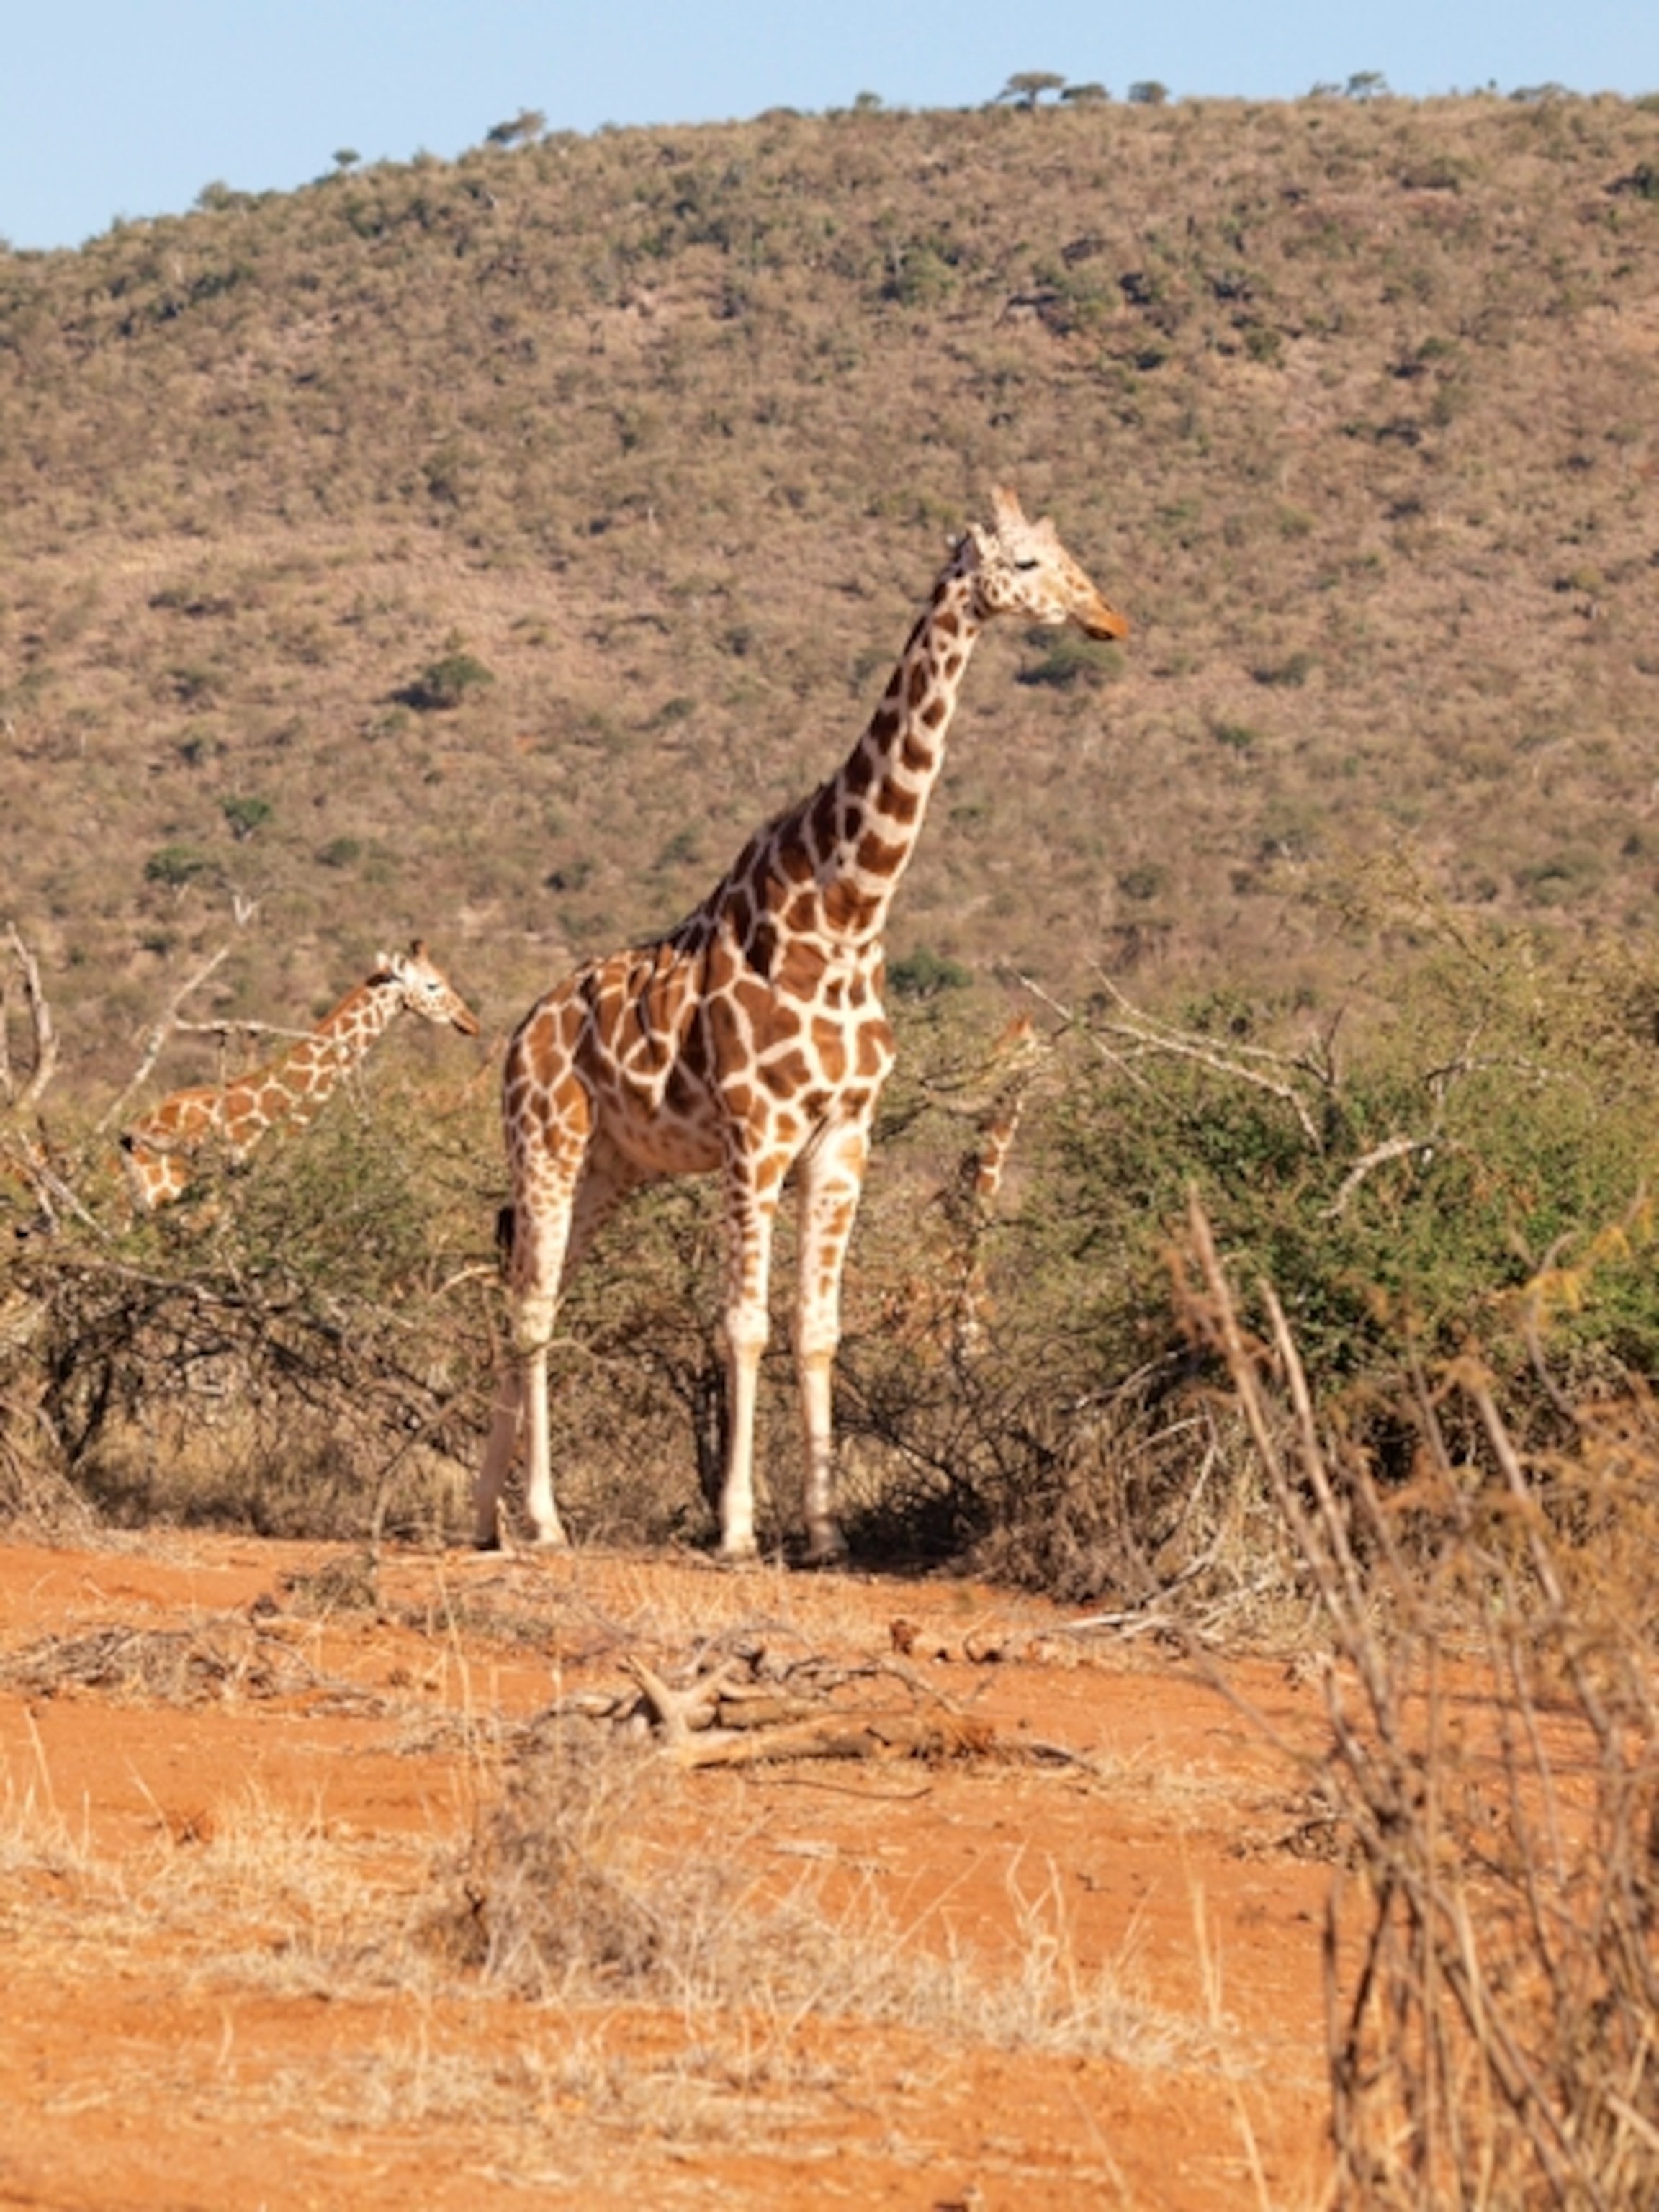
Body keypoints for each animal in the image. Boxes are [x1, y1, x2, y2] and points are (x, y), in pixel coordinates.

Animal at [476, 486, 1128, 1561]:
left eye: (1069, 552)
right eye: (1028, 564)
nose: (1107, 618)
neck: (850, 910)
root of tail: (518, 1035)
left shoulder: (842, 1137)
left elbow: (818, 1327)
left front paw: (824, 1533)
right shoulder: (758, 1137)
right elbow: (742, 1324)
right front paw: (738, 1530)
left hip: (612, 1168)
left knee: (532, 1295)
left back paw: (485, 1514)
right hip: (549, 1143)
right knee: (531, 1310)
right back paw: (543, 1519)